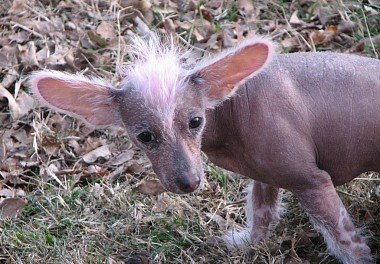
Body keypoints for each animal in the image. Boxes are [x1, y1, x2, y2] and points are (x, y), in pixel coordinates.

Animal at [30, 34, 380, 262]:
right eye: (145, 136)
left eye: (196, 121)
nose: (188, 182)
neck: (234, 106)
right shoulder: (266, 175)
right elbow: (262, 215)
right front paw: (242, 246)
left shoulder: (311, 181)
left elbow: (346, 240)